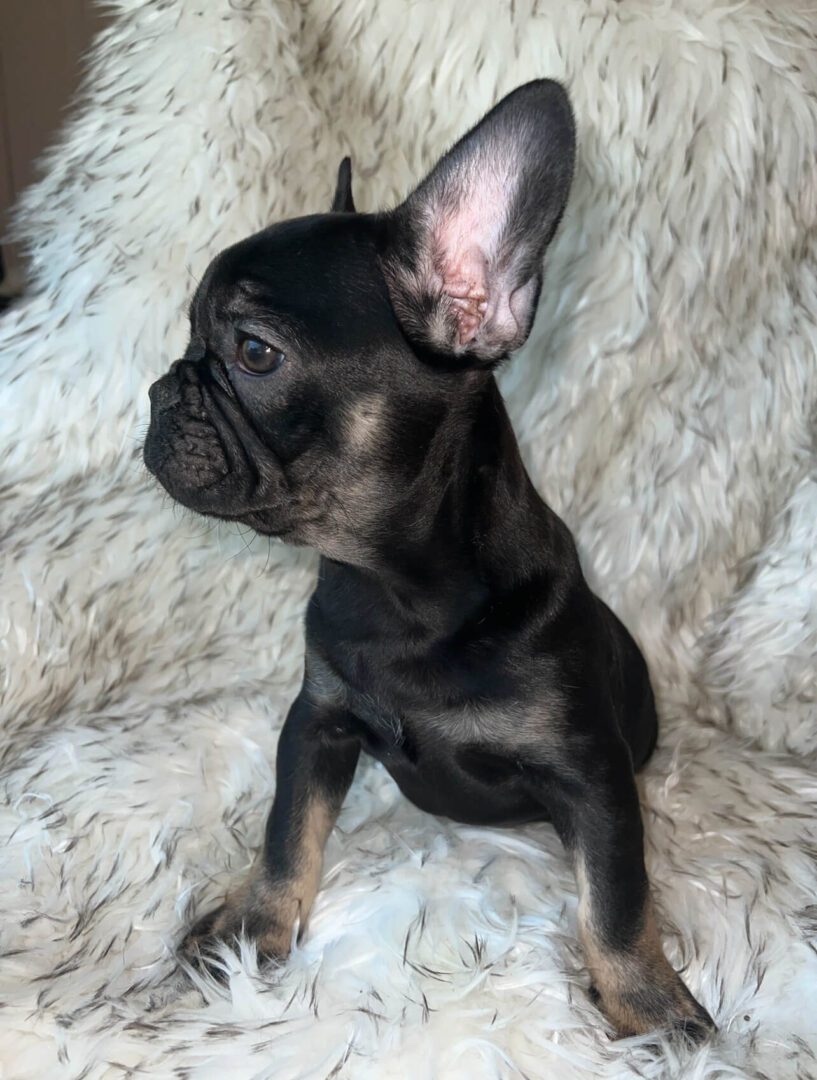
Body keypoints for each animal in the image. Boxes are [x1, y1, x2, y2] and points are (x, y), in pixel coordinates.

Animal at [143, 79, 713, 1041]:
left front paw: (647, 1008)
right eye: (190, 335)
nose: (159, 390)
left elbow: (615, 898)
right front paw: (254, 931)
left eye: (253, 351)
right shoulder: (318, 719)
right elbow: (286, 831)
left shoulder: (591, 774)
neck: (398, 591)